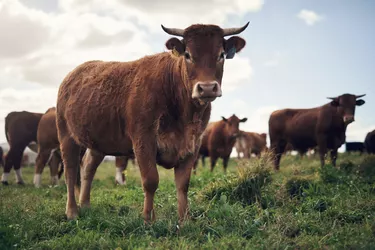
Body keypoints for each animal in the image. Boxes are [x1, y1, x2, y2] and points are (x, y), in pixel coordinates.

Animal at [55, 22, 250, 222]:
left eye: (221, 55)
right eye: (188, 55)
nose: (207, 88)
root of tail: (73, 74)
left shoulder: (193, 144)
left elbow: (183, 184)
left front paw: (185, 220)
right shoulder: (143, 140)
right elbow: (150, 180)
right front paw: (148, 218)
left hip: (98, 142)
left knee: (88, 168)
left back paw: (85, 205)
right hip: (66, 136)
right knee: (70, 171)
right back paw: (72, 211)